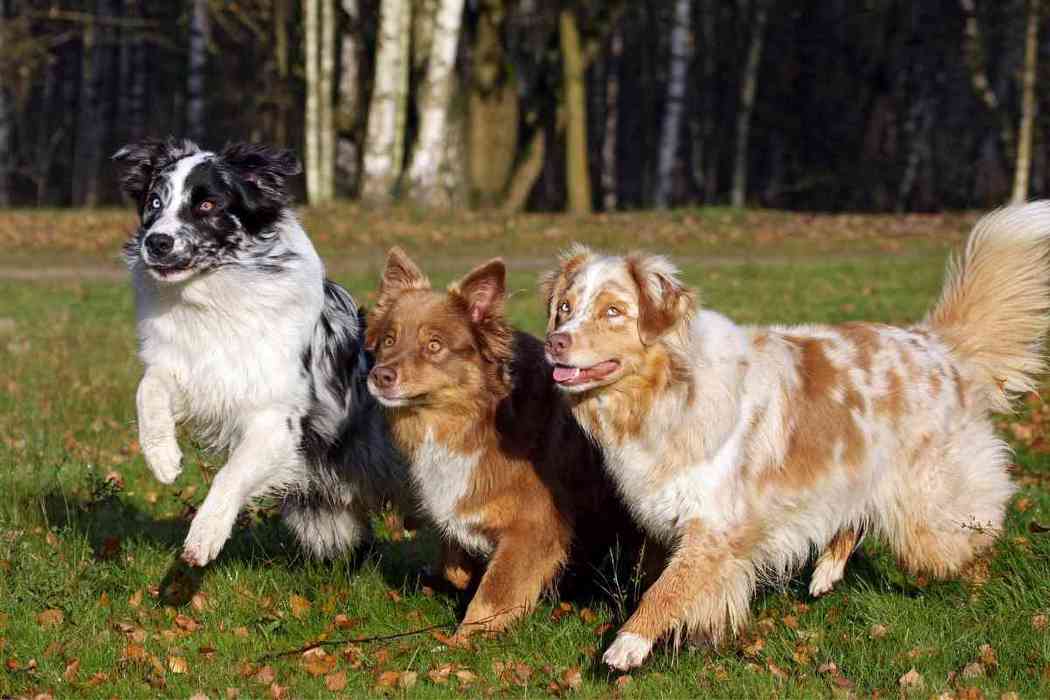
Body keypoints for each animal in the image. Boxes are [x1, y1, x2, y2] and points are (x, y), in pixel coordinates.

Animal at [114, 139, 405, 566]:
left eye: (207, 204)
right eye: (154, 202)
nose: (157, 242)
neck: (214, 301)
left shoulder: (276, 420)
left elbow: (230, 474)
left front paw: (205, 533)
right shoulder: (194, 374)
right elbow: (147, 389)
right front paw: (162, 457)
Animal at [365, 248, 634, 638]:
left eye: (434, 345)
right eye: (388, 340)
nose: (379, 376)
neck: (473, 420)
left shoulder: (534, 526)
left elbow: (493, 593)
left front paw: (463, 638)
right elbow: (454, 560)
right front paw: (462, 572)